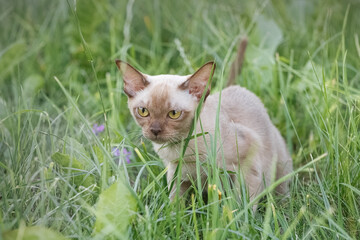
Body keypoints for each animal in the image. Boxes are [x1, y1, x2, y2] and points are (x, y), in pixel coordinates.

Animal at [115, 59, 292, 204]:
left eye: (174, 114)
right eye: (143, 111)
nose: (155, 130)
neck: (181, 148)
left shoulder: (249, 163)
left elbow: (242, 207)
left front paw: (238, 222)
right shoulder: (177, 174)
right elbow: (174, 206)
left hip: (279, 171)